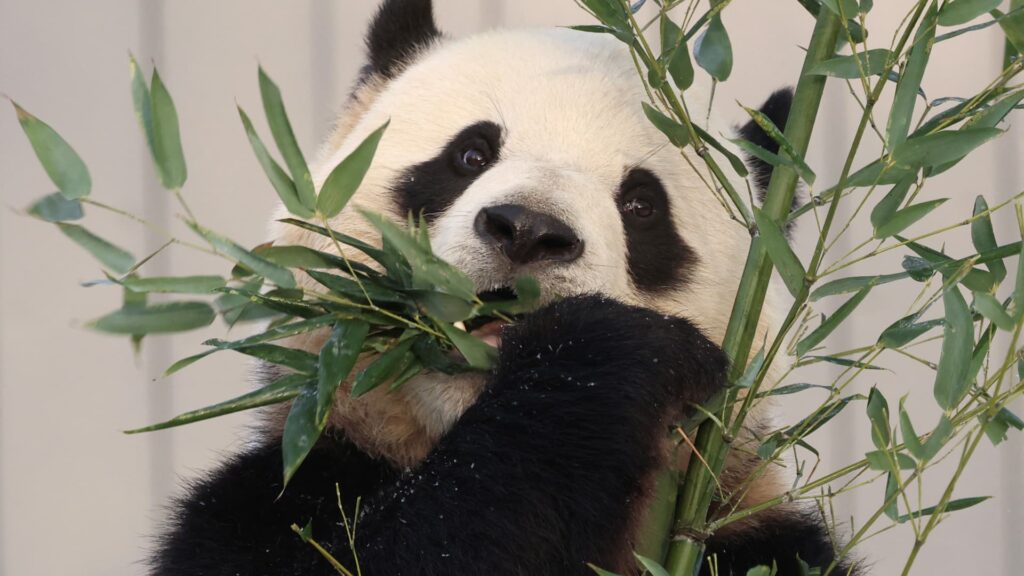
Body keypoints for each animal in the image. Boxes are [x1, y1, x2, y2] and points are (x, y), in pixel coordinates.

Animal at [151, 1, 859, 575]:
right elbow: (422, 542)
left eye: (642, 205)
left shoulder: (755, 538)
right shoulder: (279, 492)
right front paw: (605, 353)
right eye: (470, 154)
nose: (528, 231)